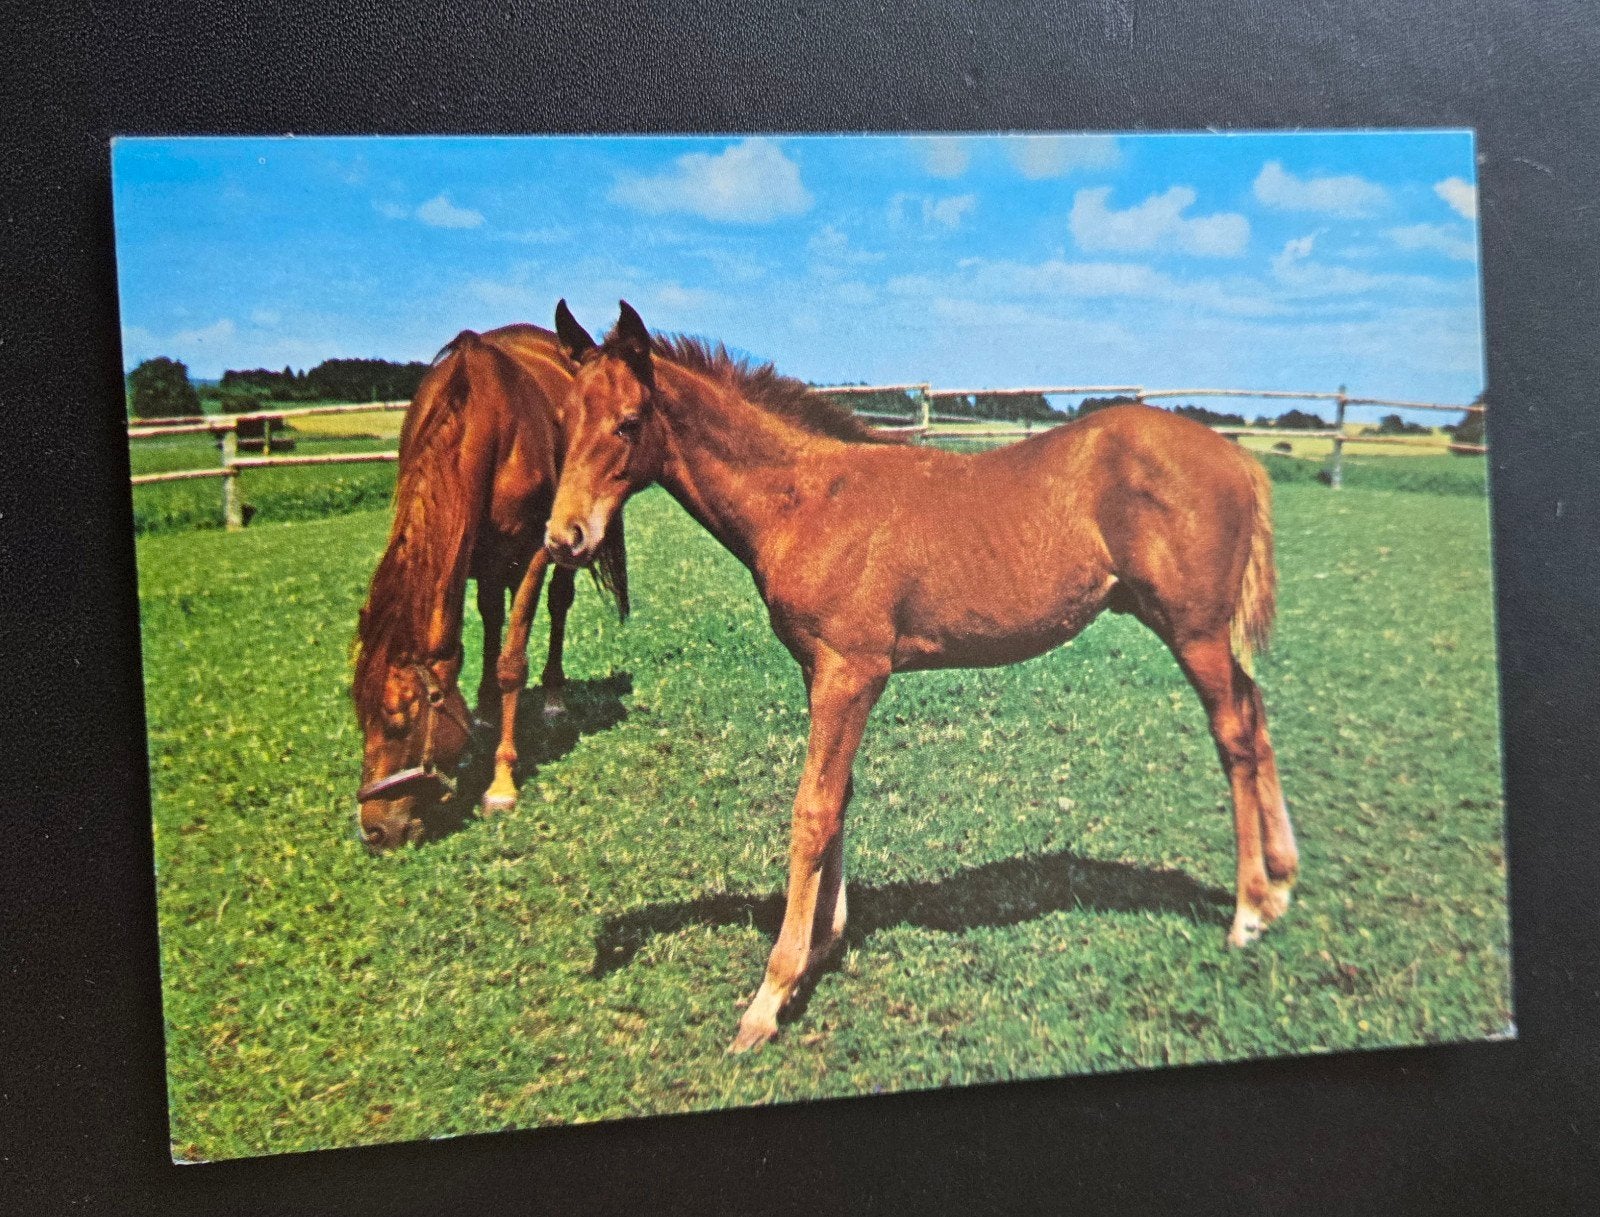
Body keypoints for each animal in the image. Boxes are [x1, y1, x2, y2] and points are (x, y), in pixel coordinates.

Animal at [352, 324, 628, 853]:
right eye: (360, 717)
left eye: (400, 721)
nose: (374, 830)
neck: (485, 421)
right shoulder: (470, 554)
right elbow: (471, 640)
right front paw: (476, 724)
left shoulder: (537, 552)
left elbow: (510, 664)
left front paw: (500, 782)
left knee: (558, 604)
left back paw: (554, 698)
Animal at [544, 300, 1296, 1053]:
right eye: (566, 419)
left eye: (628, 422)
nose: (563, 537)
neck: (809, 501)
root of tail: (1235, 456)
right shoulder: (822, 672)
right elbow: (841, 796)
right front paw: (825, 944)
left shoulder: (850, 672)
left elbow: (813, 810)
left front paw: (771, 995)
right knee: (1256, 711)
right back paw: (1282, 885)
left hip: (1194, 631)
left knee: (1233, 732)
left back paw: (1248, 912)